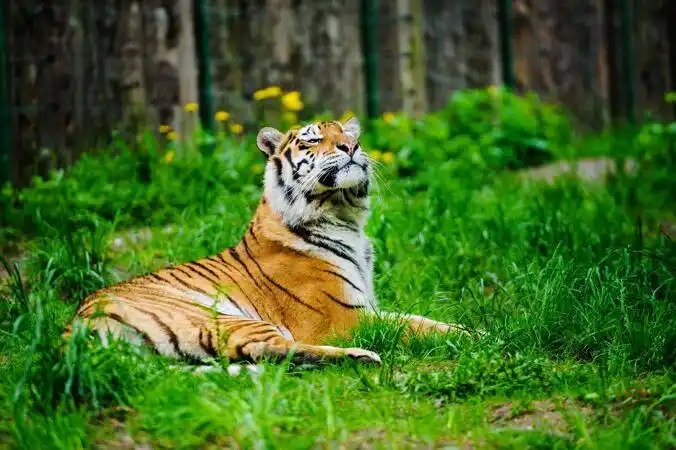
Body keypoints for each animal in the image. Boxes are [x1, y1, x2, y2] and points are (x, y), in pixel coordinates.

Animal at [63, 116, 471, 366]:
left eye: (351, 135)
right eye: (314, 139)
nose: (351, 148)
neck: (345, 214)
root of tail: (73, 327)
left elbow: (423, 319)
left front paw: (466, 330)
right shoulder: (345, 317)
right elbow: (414, 328)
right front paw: (476, 336)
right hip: (223, 317)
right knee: (272, 348)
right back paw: (361, 356)